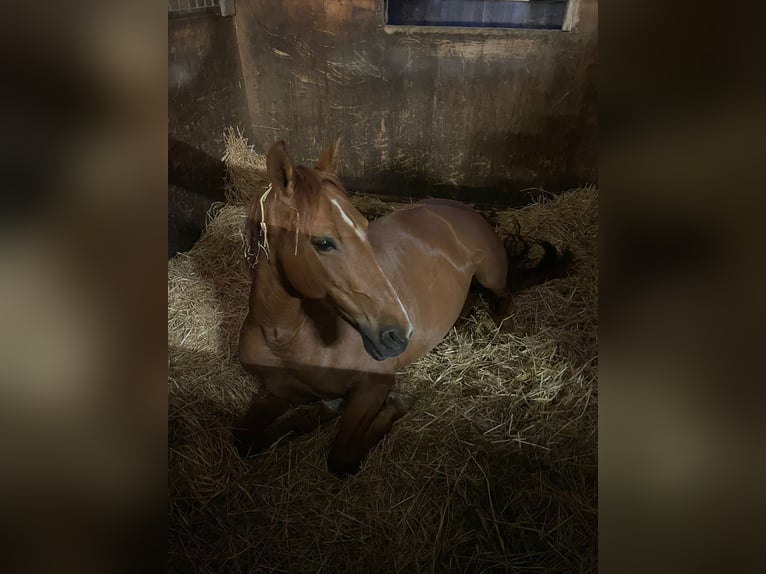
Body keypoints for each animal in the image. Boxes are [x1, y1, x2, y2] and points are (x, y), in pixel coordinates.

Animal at [233, 138, 563, 475]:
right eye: (323, 242)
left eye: (365, 227)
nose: (399, 334)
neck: (286, 336)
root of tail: (457, 207)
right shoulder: (278, 392)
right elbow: (244, 438)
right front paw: (324, 410)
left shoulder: (373, 387)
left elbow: (342, 457)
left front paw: (395, 403)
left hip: (491, 275)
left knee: (504, 294)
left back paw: (497, 324)